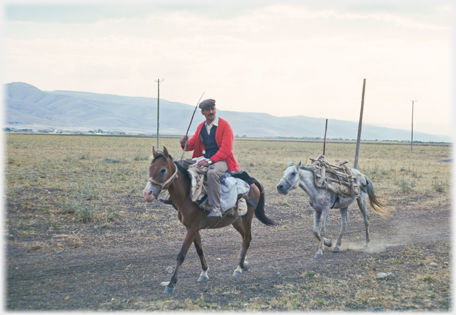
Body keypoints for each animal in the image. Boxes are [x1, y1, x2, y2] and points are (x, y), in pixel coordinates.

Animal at [142, 147, 274, 296]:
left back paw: (238, 268)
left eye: (163, 170)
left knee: (246, 240)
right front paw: (204, 273)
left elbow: (181, 254)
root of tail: (252, 183)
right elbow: (199, 250)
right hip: (236, 221)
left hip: (247, 218)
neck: (187, 195)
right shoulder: (193, 228)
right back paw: (244, 263)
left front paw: (171, 284)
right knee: (247, 238)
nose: (147, 193)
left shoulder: (192, 228)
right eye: (150, 168)